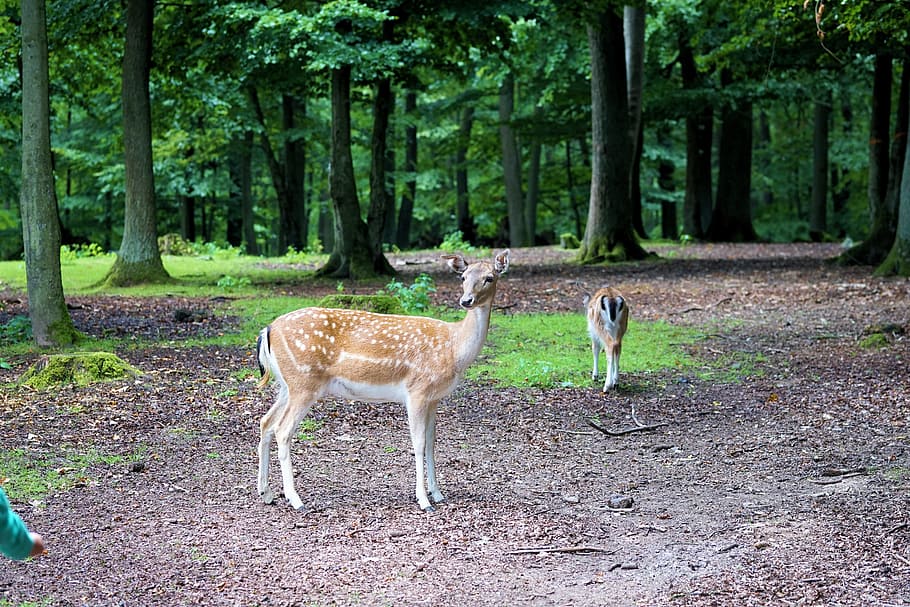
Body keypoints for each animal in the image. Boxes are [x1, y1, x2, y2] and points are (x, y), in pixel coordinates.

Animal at [255, 250, 510, 512]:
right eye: (463, 277)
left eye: (489, 278)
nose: (466, 300)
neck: (454, 348)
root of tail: (267, 329)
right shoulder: (417, 390)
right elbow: (418, 443)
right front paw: (424, 500)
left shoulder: (434, 398)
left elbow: (431, 443)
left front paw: (438, 494)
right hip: (303, 382)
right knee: (282, 430)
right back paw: (295, 499)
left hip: (286, 385)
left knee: (266, 422)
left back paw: (266, 492)